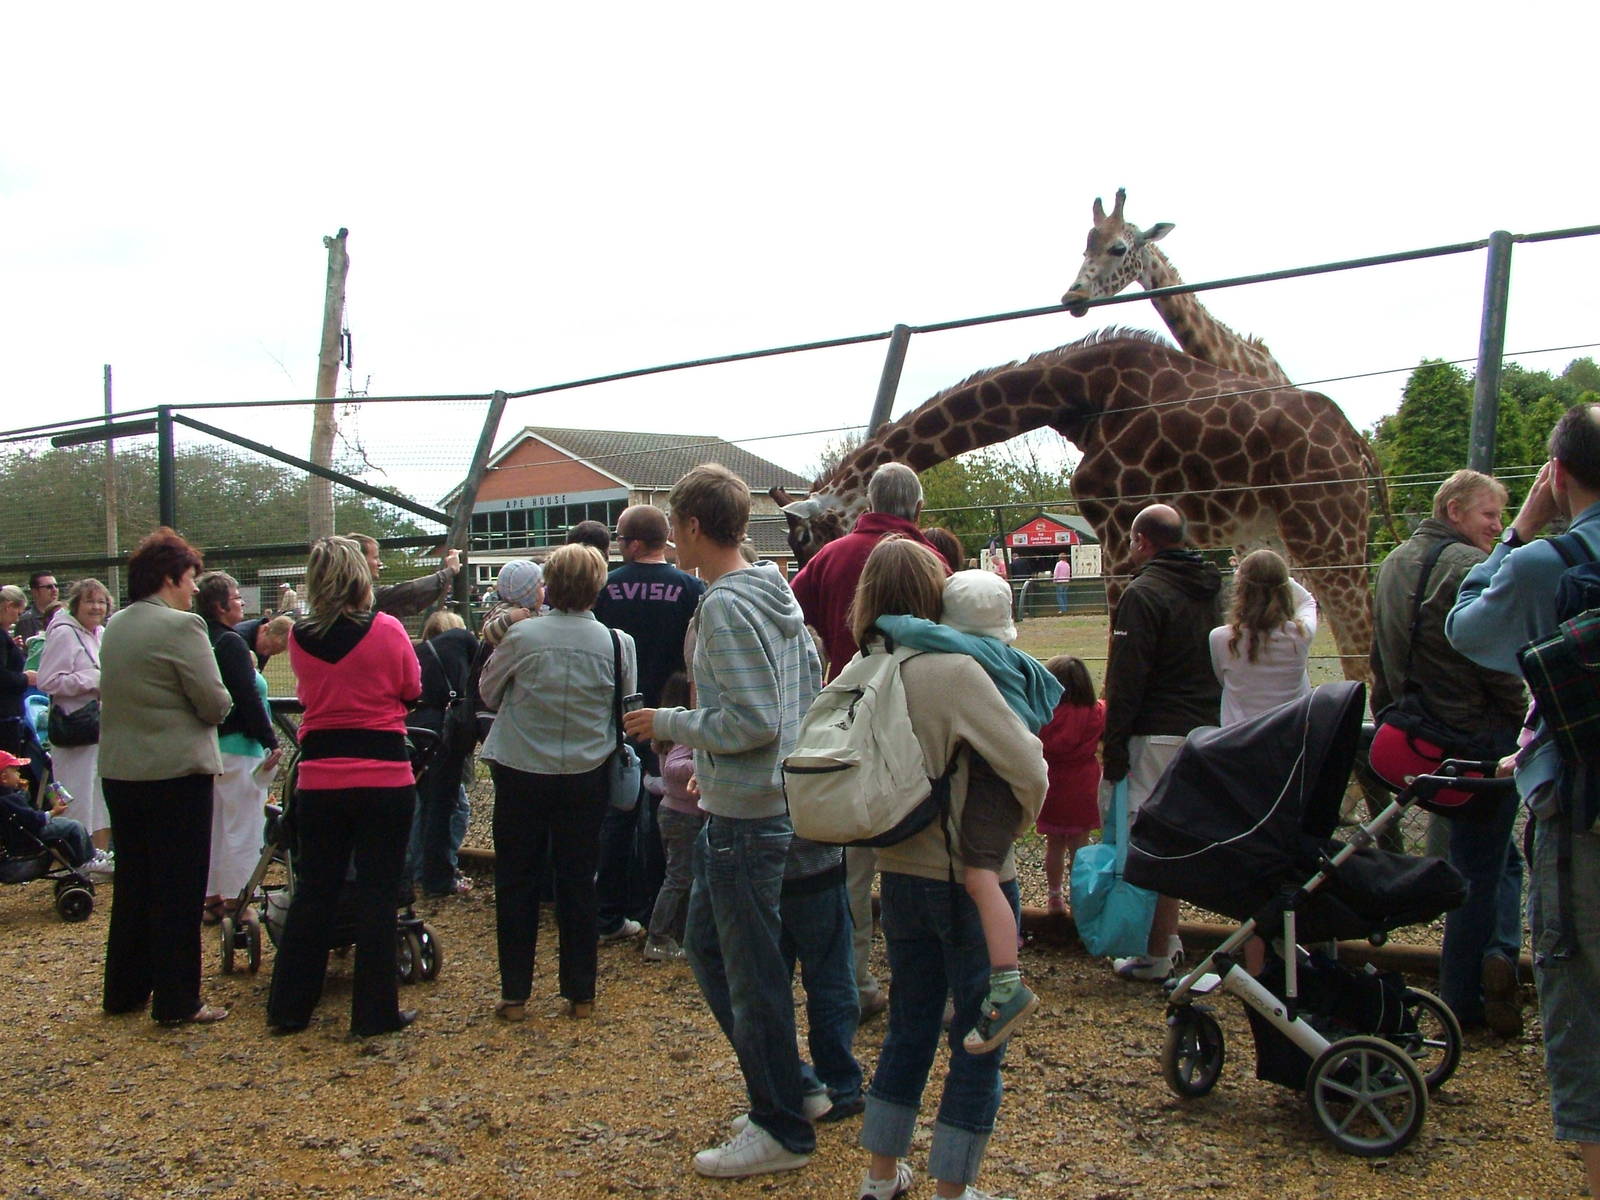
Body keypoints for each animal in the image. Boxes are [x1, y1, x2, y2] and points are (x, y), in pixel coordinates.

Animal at [773, 330, 1375, 683]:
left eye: (811, 540)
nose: (819, 634)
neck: (1073, 393)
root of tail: (1359, 448)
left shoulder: (1118, 523)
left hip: (1327, 529)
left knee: (1361, 644)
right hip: (1276, 536)